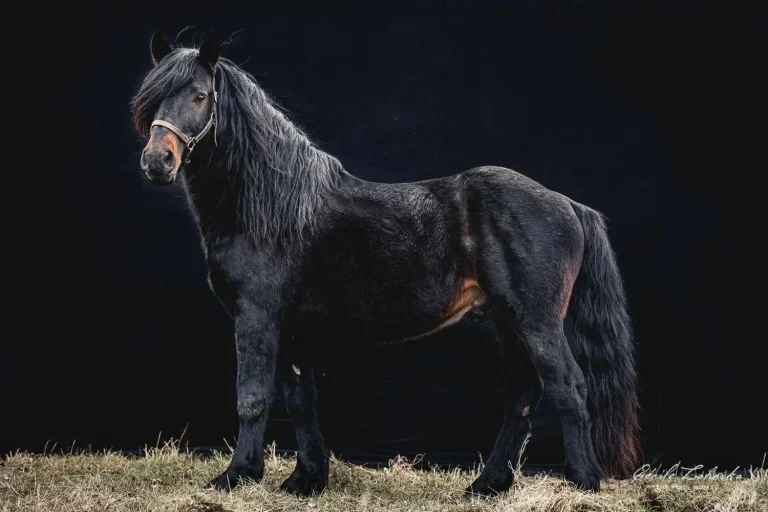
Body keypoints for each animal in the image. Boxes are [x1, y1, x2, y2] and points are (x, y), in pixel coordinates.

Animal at [131, 31, 640, 497]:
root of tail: (567, 204)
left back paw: (583, 482)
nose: (158, 161)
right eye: (152, 97)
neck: (274, 209)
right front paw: (305, 479)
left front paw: (237, 475)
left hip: (536, 322)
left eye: (200, 95)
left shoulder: (257, 318)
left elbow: (252, 398)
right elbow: (300, 401)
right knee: (522, 397)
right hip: (508, 321)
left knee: (569, 388)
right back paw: (486, 484)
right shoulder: (293, 330)